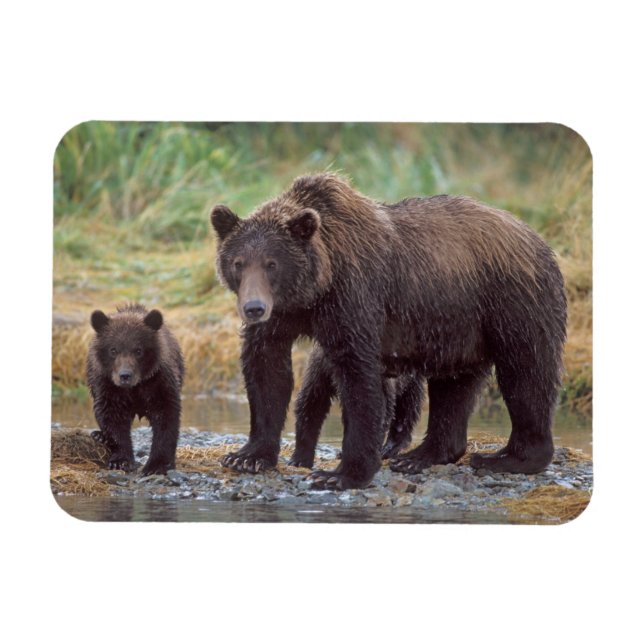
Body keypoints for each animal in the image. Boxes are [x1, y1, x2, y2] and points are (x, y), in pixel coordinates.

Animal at [86, 303, 184, 475]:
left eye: (138, 350)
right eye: (113, 350)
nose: (125, 375)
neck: (135, 387)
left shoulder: (158, 383)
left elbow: (166, 417)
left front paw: (157, 465)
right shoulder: (109, 387)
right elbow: (112, 417)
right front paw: (121, 461)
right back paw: (99, 436)